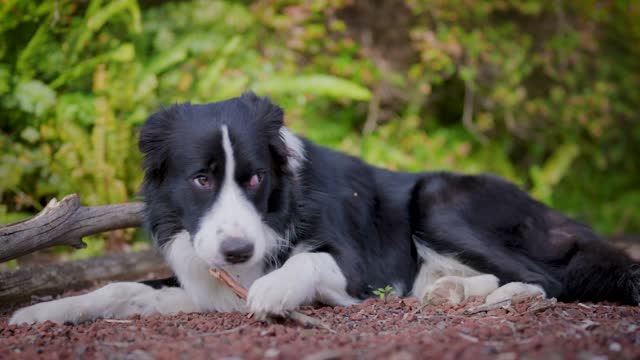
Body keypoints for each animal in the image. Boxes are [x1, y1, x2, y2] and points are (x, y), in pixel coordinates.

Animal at [8, 91, 636, 324]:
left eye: (255, 177)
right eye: (201, 179)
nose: (237, 250)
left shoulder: (361, 269)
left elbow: (307, 260)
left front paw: (272, 289)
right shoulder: (202, 283)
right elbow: (121, 288)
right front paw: (45, 312)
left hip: (438, 200)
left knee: (547, 280)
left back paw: (496, 297)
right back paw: (448, 291)